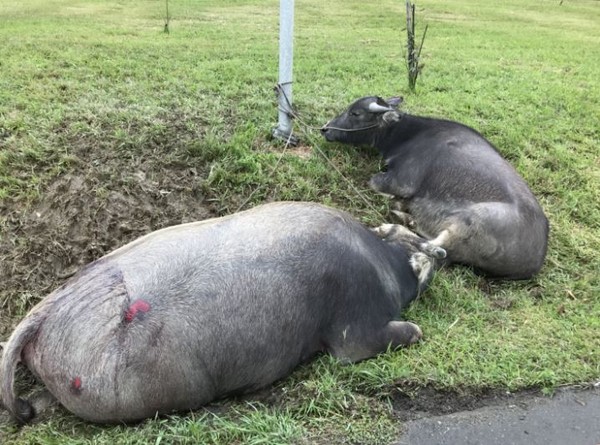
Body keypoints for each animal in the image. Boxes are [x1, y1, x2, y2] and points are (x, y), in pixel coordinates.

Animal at [1, 201, 446, 424]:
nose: (437, 251)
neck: (382, 261)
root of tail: (44, 314)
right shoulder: (354, 327)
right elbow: (373, 342)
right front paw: (417, 329)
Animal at [322, 96, 552, 280]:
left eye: (355, 113)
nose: (325, 129)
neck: (408, 134)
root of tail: (533, 262)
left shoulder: (401, 181)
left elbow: (374, 181)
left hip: (466, 224)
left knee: (437, 251)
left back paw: (393, 224)